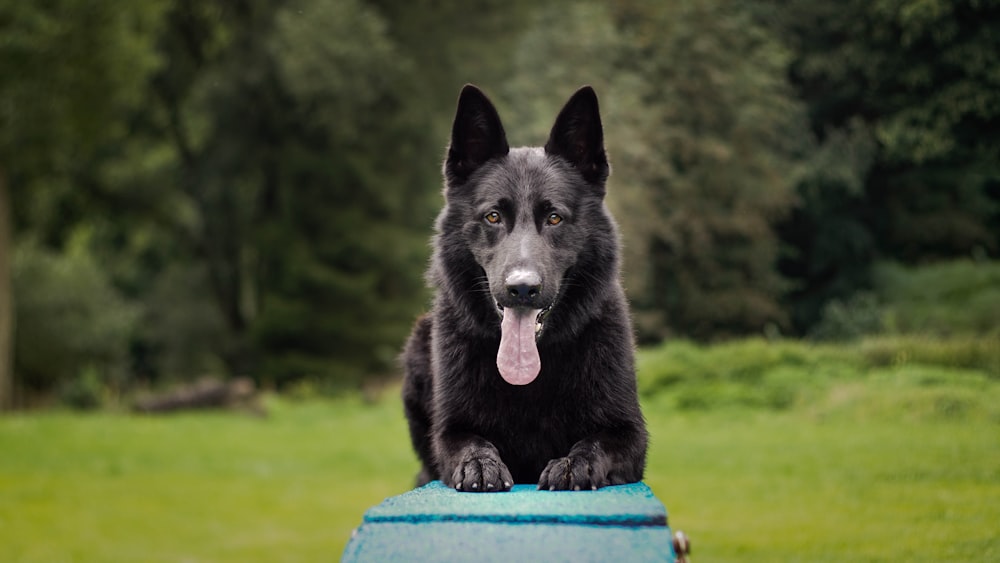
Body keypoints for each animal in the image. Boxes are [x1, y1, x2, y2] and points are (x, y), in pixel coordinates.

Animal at [400, 85, 648, 494]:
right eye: (493, 217)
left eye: (554, 218)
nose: (522, 289)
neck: (530, 376)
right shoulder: (450, 432)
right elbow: (469, 442)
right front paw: (480, 463)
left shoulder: (629, 434)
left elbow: (595, 443)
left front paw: (573, 463)